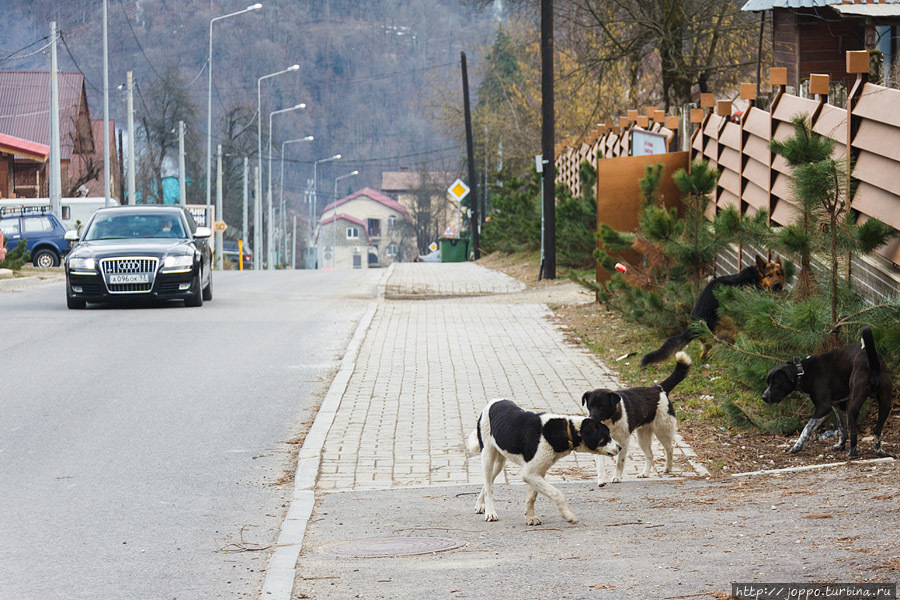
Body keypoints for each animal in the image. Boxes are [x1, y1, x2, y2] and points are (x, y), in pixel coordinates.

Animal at [464, 398, 620, 524]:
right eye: (606, 437)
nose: (620, 447)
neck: (566, 430)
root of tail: (492, 402)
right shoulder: (530, 473)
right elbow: (557, 494)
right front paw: (568, 516)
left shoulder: (537, 473)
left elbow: (531, 497)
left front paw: (530, 517)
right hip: (488, 456)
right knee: (489, 487)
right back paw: (490, 513)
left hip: (499, 462)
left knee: (488, 482)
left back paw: (480, 505)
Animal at [580, 354, 692, 486]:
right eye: (590, 406)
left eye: (602, 406)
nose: (591, 419)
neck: (610, 421)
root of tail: (658, 389)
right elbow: (600, 465)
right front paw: (601, 480)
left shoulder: (623, 442)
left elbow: (620, 462)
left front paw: (617, 477)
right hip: (643, 437)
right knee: (650, 455)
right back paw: (645, 473)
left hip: (662, 431)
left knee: (670, 449)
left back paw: (668, 468)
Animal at [640, 253, 780, 366]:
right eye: (769, 275)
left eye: (779, 274)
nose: (778, 285)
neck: (756, 276)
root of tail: (694, 325)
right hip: (728, 329)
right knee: (717, 349)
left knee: (706, 352)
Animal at [760, 326, 892, 458]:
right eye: (768, 383)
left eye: (775, 384)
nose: (764, 397)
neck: (803, 371)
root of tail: (871, 361)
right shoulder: (838, 405)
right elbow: (842, 428)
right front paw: (840, 445)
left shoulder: (823, 407)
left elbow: (807, 429)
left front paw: (797, 446)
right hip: (885, 404)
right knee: (877, 430)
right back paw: (879, 451)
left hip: (854, 405)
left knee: (854, 433)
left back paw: (852, 452)